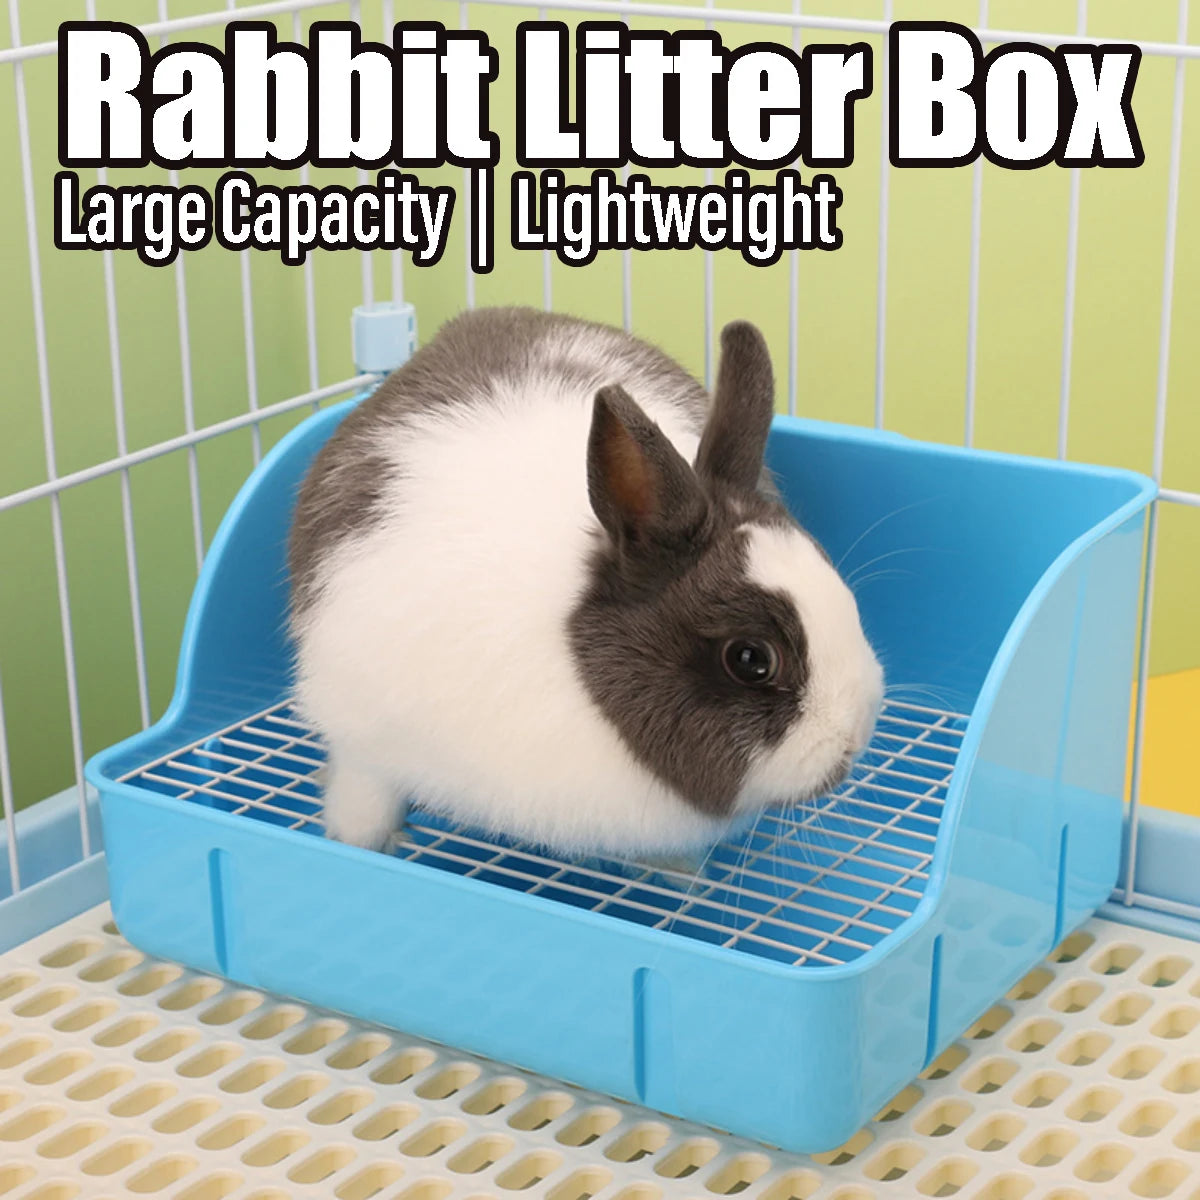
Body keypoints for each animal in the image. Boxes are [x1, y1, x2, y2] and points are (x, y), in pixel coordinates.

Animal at [287, 306, 884, 860]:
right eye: (751, 659)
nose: (854, 736)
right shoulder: (362, 737)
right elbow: (363, 797)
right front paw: (362, 842)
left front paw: (677, 871)